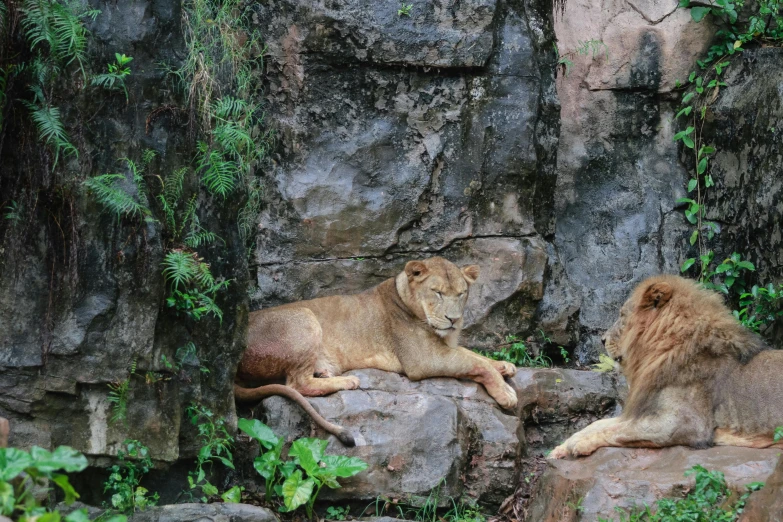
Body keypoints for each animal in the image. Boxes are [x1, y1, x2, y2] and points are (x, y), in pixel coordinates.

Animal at [239, 256, 520, 442]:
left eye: (461, 293)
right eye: (437, 293)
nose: (454, 320)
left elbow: (474, 355)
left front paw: (505, 366)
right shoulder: (423, 359)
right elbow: (475, 362)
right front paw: (505, 393)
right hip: (305, 317)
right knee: (298, 384)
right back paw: (348, 381)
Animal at [552, 274, 783, 458]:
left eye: (622, 315)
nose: (602, 340)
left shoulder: (687, 423)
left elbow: (621, 430)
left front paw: (580, 443)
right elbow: (602, 423)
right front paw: (561, 447)